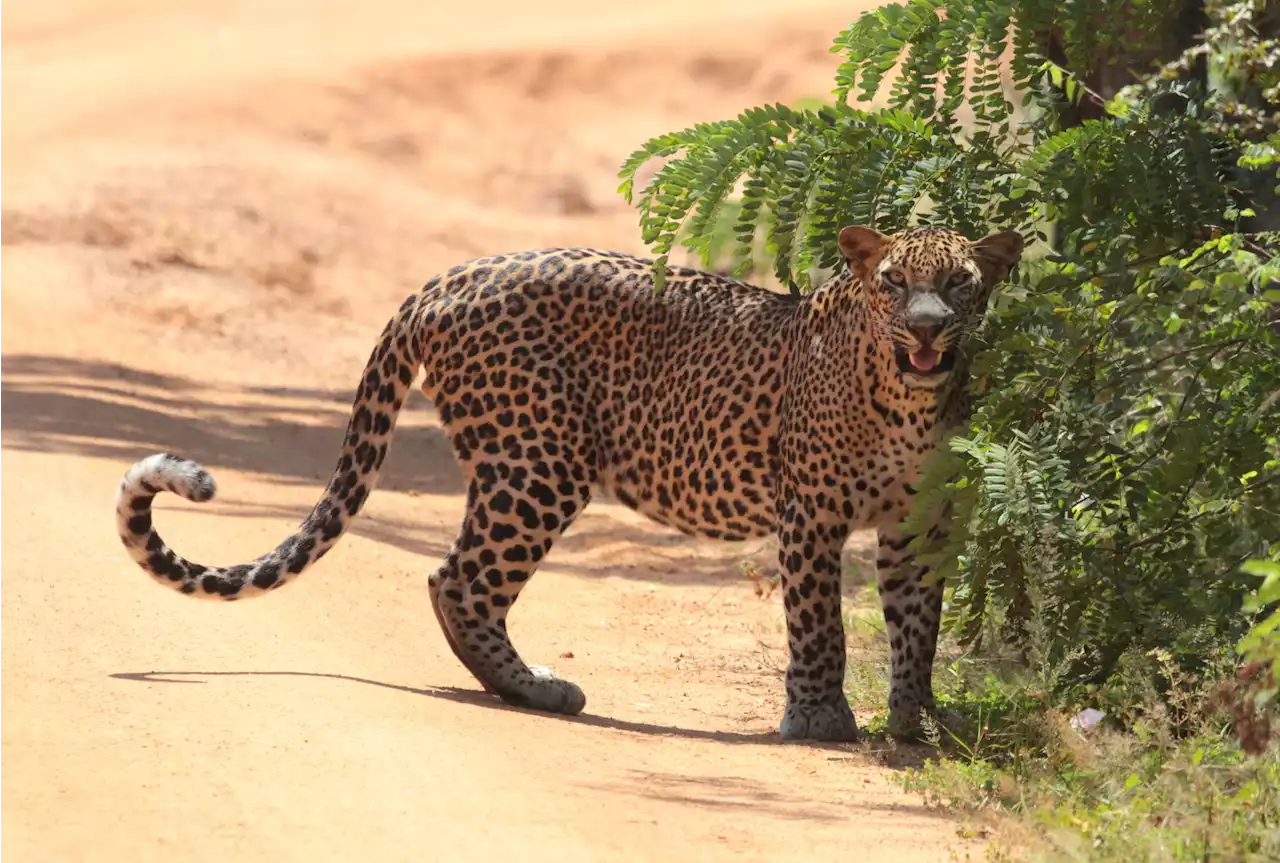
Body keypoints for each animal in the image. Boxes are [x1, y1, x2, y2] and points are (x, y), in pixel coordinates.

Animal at [115, 224, 1024, 737]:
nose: (927, 328)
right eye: (894, 283)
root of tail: (445, 278)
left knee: (457, 576)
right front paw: (820, 719)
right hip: (539, 462)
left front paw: (917, 721)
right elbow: (819, 624)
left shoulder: (921, 524)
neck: (907, 398)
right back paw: (532, 688)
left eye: (959, 283)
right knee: (460, 579)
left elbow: (917, 627)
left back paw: (516, 684)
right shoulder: (811, 513)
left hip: (518, 463)